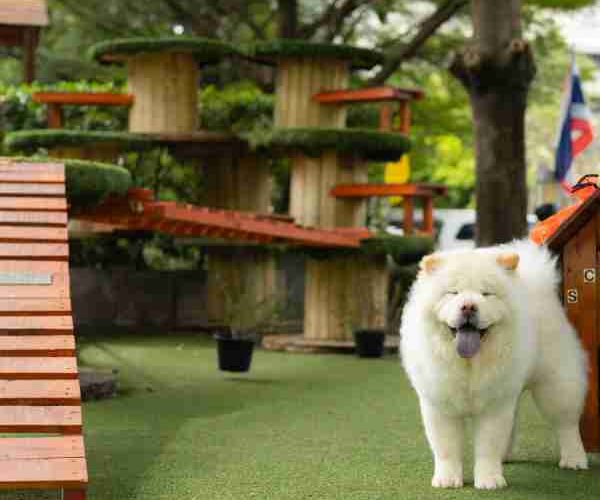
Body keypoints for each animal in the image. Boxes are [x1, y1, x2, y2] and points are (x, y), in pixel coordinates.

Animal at [400, 240, 588, 490]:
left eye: (486, 293)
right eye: (453, 293)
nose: (469, 306)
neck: (469, 364)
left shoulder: (494, 406)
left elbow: (487, 446)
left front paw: (489, 480)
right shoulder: (440, 406)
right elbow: (446, 447)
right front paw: (447, 480)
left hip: (556, 383)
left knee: (566, 424)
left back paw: (574, 459)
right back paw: (505, 456)